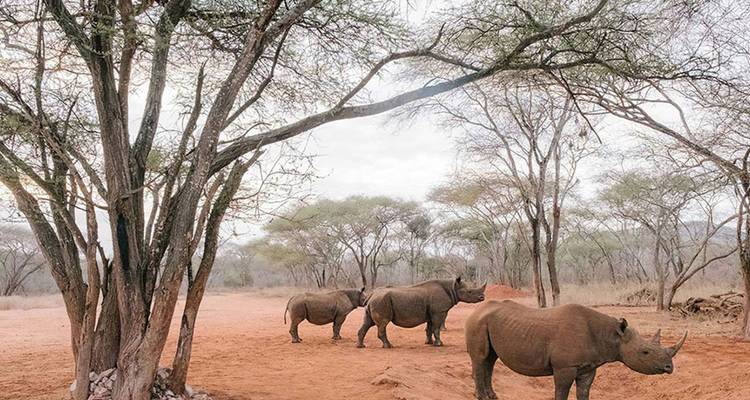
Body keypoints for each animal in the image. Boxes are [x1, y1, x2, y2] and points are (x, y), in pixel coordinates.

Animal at [357, 277, 486, 348]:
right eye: (469, 292)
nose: (482, 298)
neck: (452, 288)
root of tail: (371, 294)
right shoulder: (439, 312)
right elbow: (436, 328)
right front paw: (439, 344)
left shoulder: (432, 313)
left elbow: (429, 328)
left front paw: (429, 343)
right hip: (381, 301)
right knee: (383, 324)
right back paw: (389, 346)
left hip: (377, 301)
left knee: (368, 323)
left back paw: (361, 346)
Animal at [465, 300, 687, 400]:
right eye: (645, 352)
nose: (669, 367)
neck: (612, 336)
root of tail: (476, 310)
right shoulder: (565, 366)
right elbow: (562, 391)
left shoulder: (588, 366)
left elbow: (584, 390)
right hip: (477, 323)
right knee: (481, 359)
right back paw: (482, 397)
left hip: (486, 322)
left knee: (490, 360)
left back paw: (492, 397)